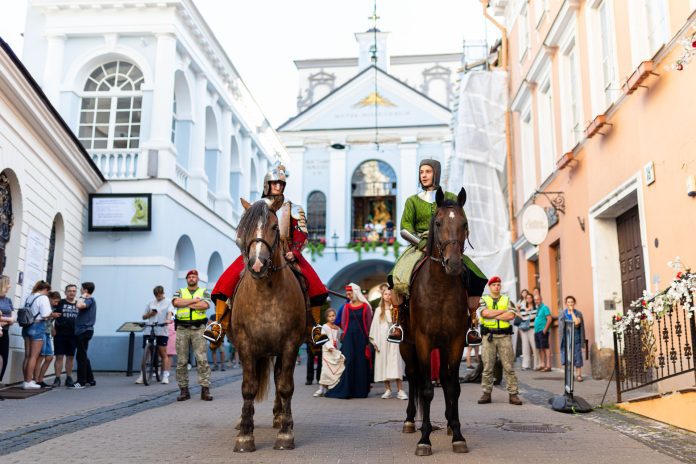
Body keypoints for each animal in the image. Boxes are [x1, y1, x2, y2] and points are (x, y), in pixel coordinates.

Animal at [230, 197, 306, 454]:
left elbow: (285, 386)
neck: (265, 293)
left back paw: (279, 417)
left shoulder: (290, 345)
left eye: (274, 226)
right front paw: (245, 435)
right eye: (243, 229)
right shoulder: (245, 345)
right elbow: (248, 387)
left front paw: (285, 433)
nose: (257, 265)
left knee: (279, 378)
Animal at [400, 186, 470, 456]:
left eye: (464, 223)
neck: (440, 288)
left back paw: (450, 423)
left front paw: (458, 434)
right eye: (438, 223)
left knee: (445, 378)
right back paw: (410, 421)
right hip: (406, 345)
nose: (454, 264)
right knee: (413, 377)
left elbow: (453, 386)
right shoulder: (423, 340)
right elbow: (427, 389)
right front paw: (424, 439)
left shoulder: (456, 341)